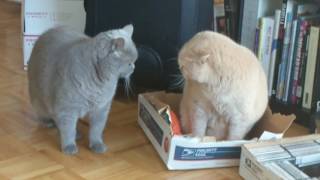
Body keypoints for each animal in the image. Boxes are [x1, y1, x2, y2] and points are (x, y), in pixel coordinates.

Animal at [27, 24, 138, 155]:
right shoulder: (67, 108)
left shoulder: (101, 109)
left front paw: (97, 144)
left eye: (134, 62)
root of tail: (48, 30)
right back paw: (51, 124)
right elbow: (68, 129)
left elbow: (97, 129)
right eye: (129, 63)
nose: (134, 68)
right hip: (40, 102)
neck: (101, 82)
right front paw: (69, 146)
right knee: (50, 117)